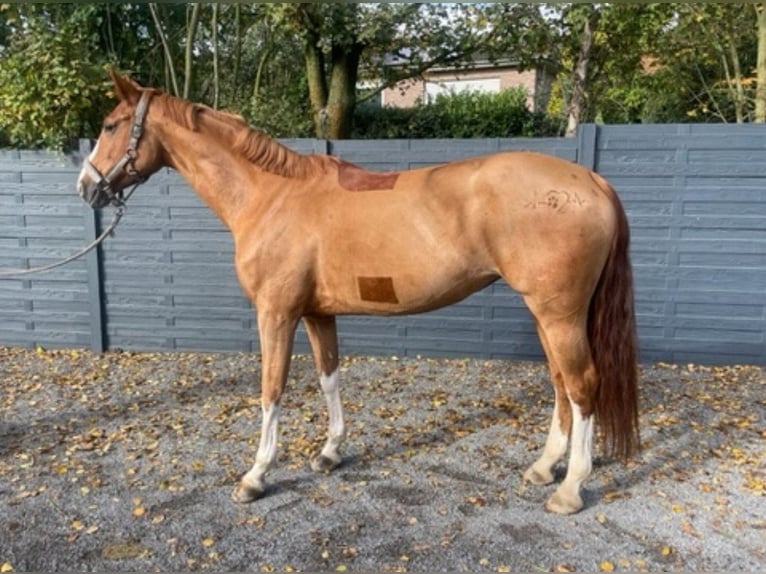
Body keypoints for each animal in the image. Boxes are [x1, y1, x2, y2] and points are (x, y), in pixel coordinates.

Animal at [79, 73, 640, 516]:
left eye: (109, 125)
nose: (86, 186)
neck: (271, 196)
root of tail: (590, 180)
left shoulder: (276, 313)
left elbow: (271, 389)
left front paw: (256, 475)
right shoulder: (315, 313)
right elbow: (328, 376)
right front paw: (330, 452)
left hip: (559, 313)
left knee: (582, 385)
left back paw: (570, 488)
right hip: (547, 314)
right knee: (561, 384)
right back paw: (545, 467)